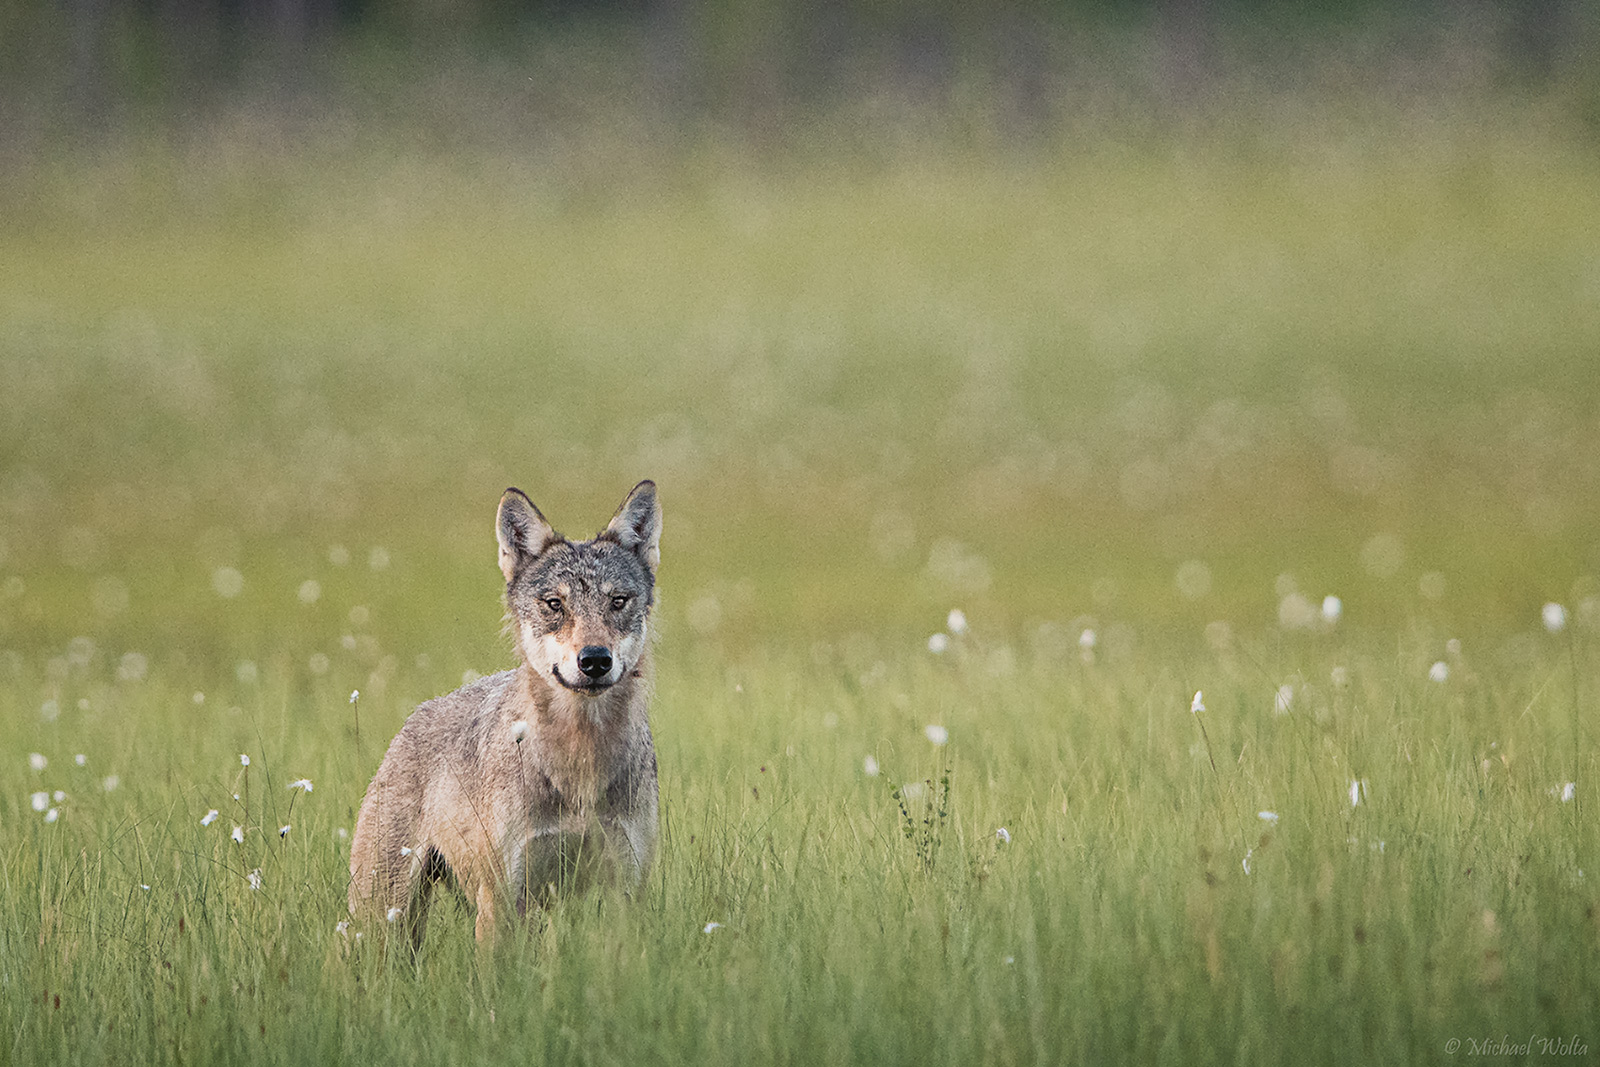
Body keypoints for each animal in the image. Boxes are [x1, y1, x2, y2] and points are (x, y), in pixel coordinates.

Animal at [350, 479, 662, 947]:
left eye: (618, 601)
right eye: (554, 604)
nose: (594, 660)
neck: (580, 764)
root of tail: (416, 714)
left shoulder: (626, 895)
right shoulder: (499, 900)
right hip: (381, 920)